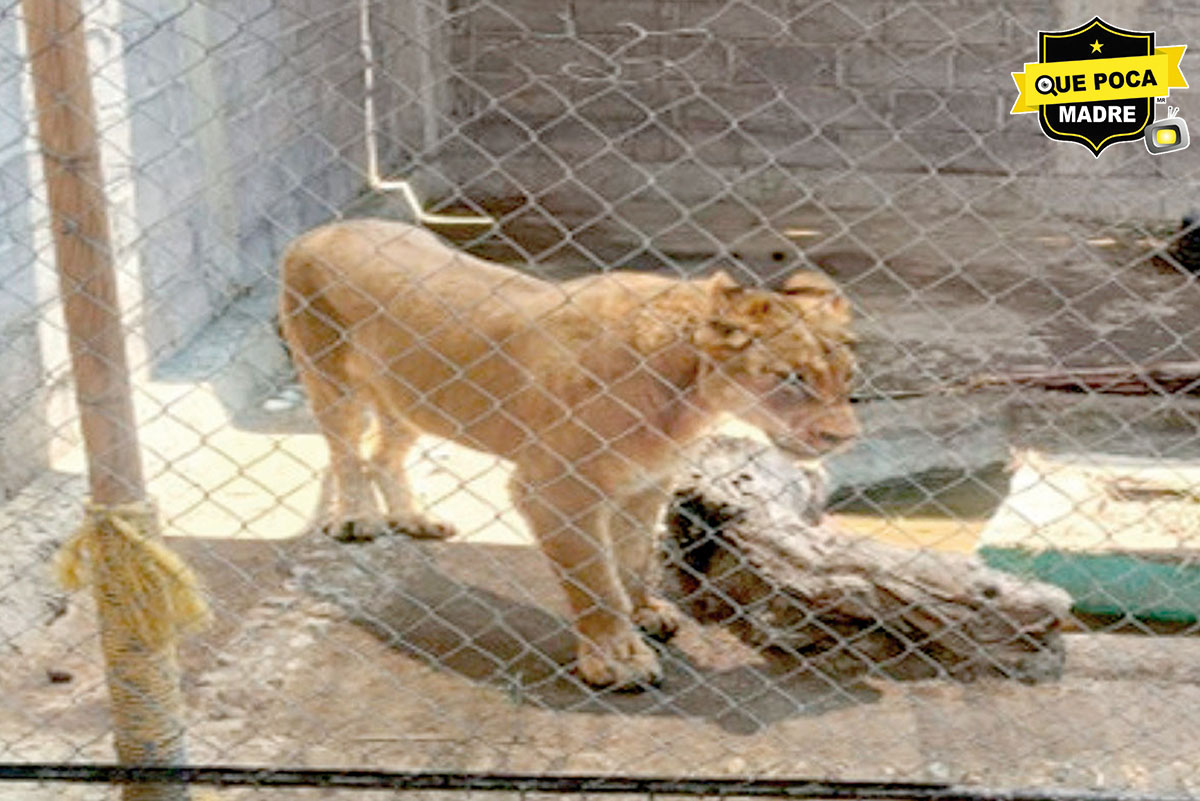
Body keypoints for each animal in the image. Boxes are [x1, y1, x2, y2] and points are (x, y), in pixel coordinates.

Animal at [278, 219, 858, 689]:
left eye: (847, 376)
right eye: (792, 378)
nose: (844, 437)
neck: (689, 396)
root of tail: (317, 231)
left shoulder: (645, 482)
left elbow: (632, 559)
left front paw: (644, 612)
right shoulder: (557, 490)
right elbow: (595, 581)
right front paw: (618, 659)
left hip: (410, 398)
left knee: (383, 455)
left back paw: (414, 519)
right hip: (331, 381)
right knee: (347, 455)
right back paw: (357, 519)